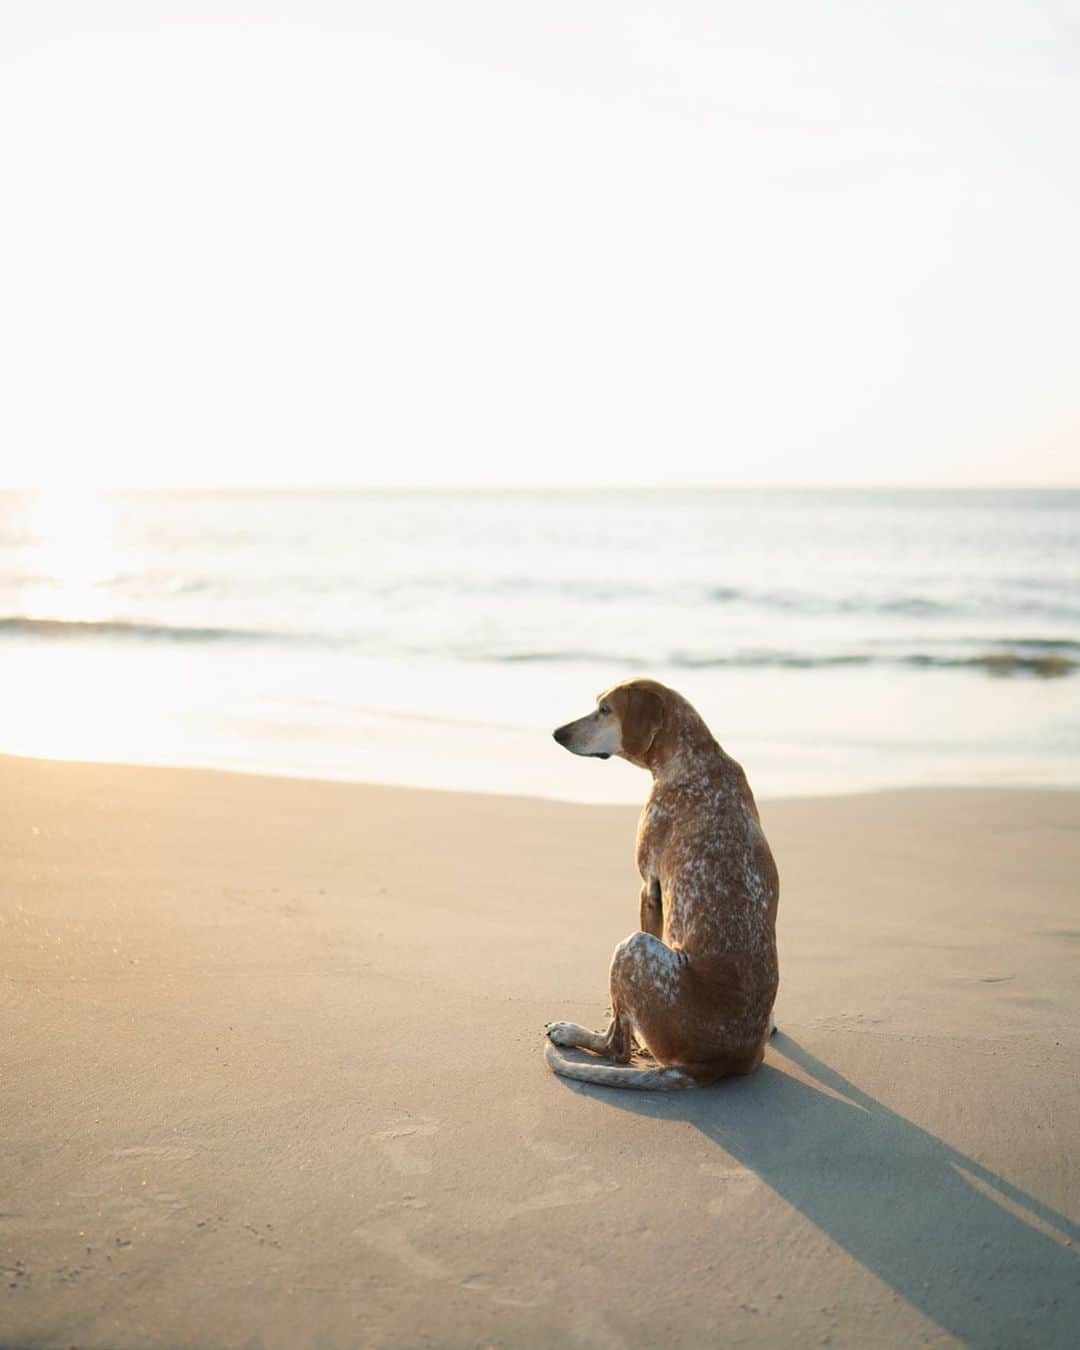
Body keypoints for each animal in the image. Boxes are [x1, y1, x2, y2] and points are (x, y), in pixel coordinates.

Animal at [545, 680, 783, 1090]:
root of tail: (715, 1065)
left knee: (617, 1048)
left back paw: (574, 1032)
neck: (695, 757)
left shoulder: (649, 888)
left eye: (605, 710)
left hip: (632, 948)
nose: (558, 733)